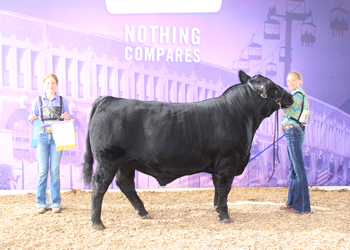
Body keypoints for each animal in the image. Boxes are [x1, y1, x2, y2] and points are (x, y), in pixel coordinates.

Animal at [81, 70, 292, 229]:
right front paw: (225, 216)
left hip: (126, 162)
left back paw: (143, 212)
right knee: (99, 185)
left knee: (125, 184)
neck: (240, 114)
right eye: (273, 88)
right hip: (108, 159)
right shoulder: (228, 159)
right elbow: (224, 187)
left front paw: (217, 209)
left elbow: (218, 188)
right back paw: (97, 222)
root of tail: (110, 99)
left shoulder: (218, 164)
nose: (290, 97)